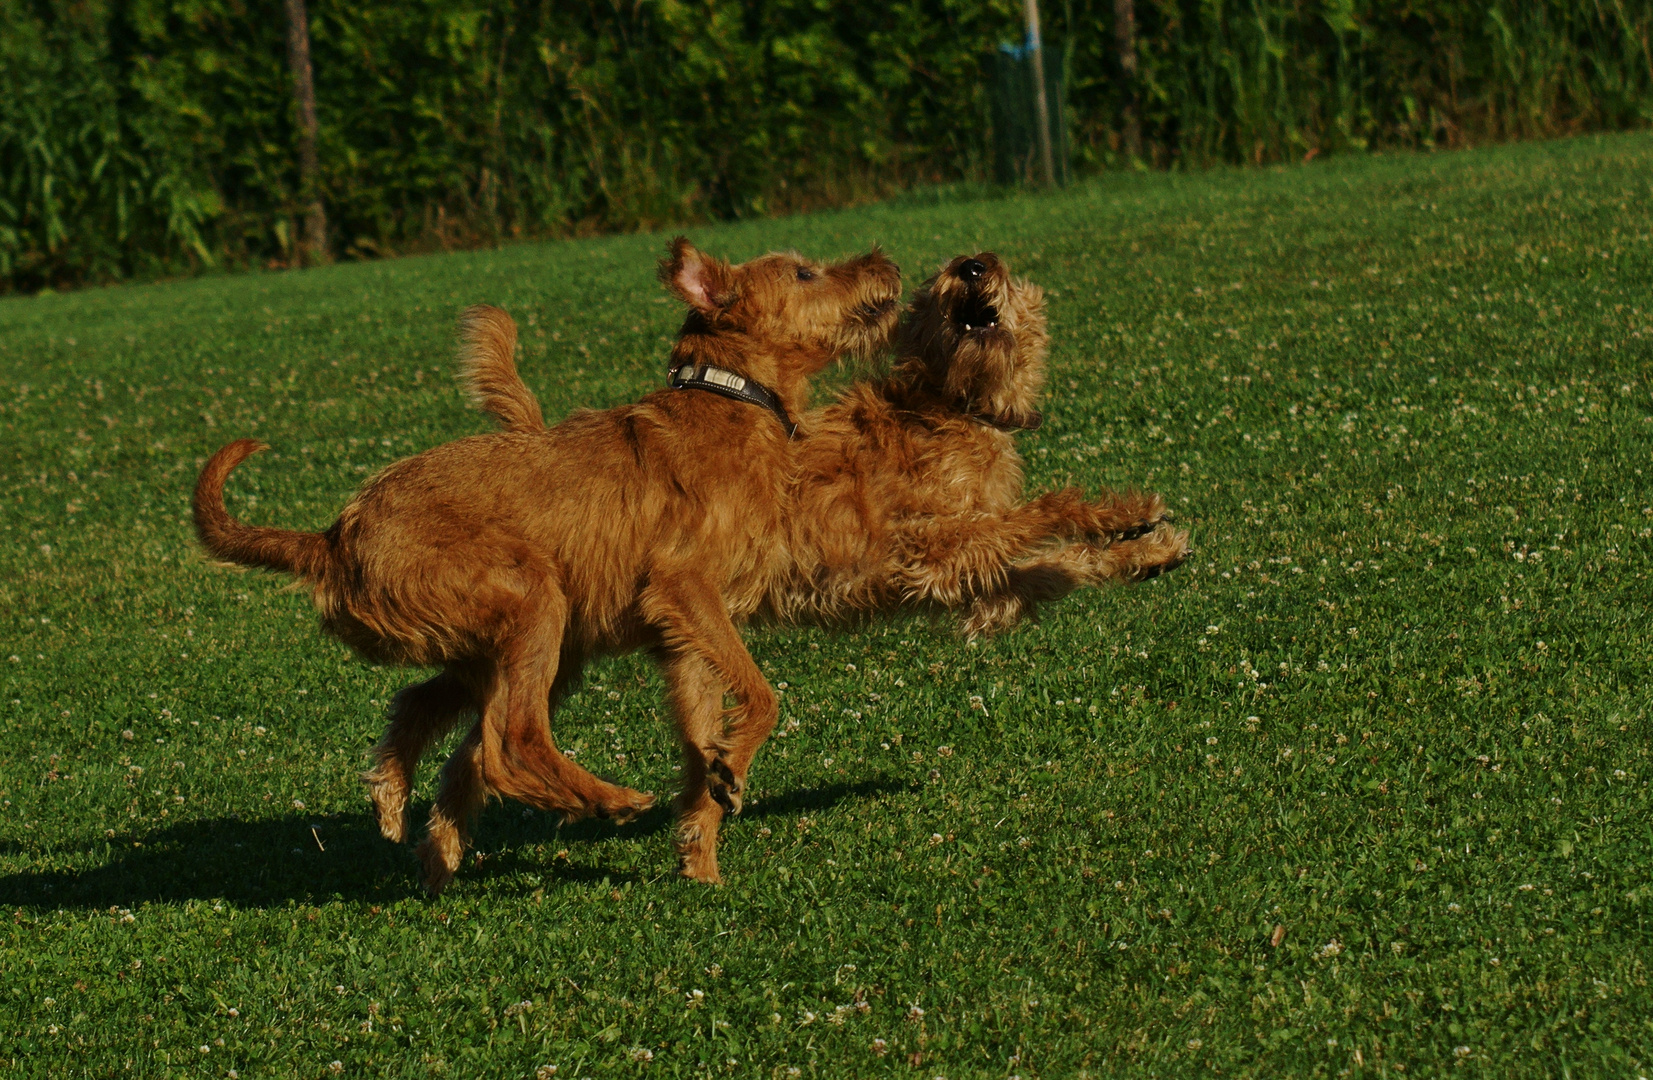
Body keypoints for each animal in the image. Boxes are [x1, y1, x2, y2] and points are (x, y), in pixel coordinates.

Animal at [196, 238, 905, 893]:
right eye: (805, 272)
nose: (886, 260)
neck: (731, 398)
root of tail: (333, 538)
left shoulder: (685, 640)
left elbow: (702, 743)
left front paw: (703, 854)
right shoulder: (684, 589)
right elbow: (762, 694)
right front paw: (732, 769)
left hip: (507, 644)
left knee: (434, 716)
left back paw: (412, 819)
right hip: (534, 599)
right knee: (510, 741)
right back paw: (605, 799)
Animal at [391, 253, 1183, 886]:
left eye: (1000, 270)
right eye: (943, 279)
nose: (974, 265)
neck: (949, 405)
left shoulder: (974, 584)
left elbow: (1059, 566)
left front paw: (1147, 551)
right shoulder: (930, 549)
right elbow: (1044, 514)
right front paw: (1121, 511)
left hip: (552, 647)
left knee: (461, 738)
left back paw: (436, 848)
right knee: (477, 734)